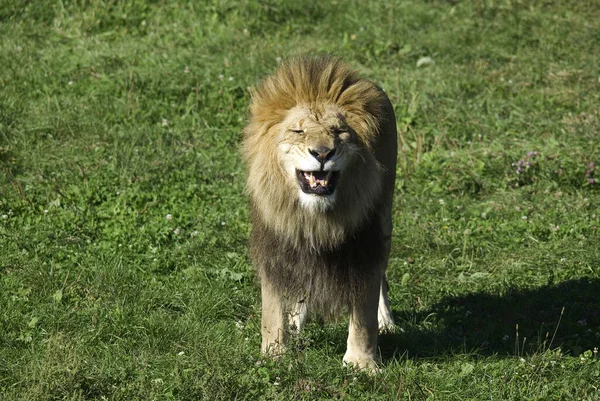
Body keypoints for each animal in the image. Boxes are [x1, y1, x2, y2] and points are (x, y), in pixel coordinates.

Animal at [241, 55, 396, 368]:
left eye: (339, 132)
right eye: (298, 131)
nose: (323, 153)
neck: (313, 217)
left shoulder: (364, 245)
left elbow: (364, 313)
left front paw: (361, 364)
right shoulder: (274, 244)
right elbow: (271, 310)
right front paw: (273, 355)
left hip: (385, 217)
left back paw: (386, 321)